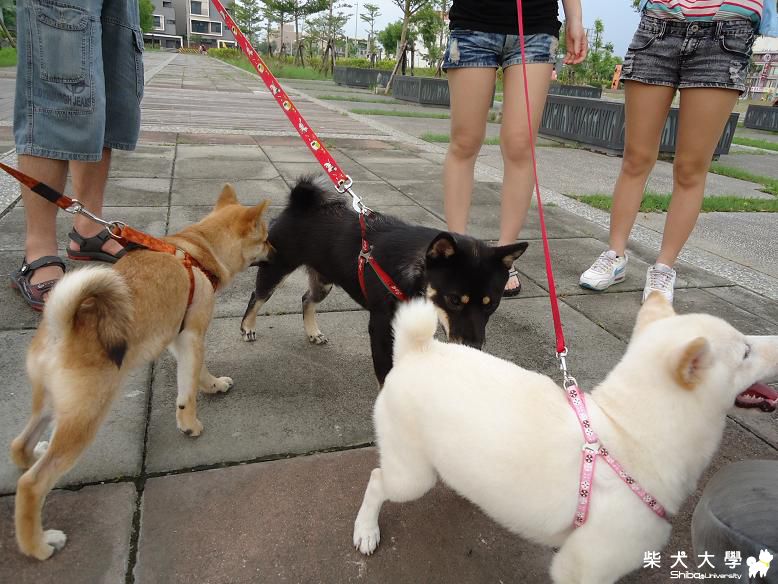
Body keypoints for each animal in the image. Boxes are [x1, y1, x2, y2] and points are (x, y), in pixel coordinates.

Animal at [10, 185, 272, 560]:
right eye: (265, 239)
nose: (276, 250)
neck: (197, 250)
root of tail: (64, 327)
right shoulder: (192, 336)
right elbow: (189, 387)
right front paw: (190, 421)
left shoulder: (179, 337)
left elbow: (196, 375)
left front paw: (211, 386)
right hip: (85, 418)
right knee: (32, 483)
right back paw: (40, 544)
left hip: (51, 403)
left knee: (19, 446)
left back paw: (34, 453)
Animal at [240, 177, 528, 384]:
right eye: (454, 300)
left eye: (492, 304)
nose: (474, 347)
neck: (414, 269)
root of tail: (299, 204)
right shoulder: (379, 327)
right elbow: (385, 372)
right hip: (276, 268)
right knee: (257, 296)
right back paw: (247, 327)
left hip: (323, 281)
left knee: (306, 299)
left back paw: (313, 332)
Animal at [352, 293, 778, 583]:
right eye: (745, 351)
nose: (777, 339)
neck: (627, 432)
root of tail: (416, 350)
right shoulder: (585, 566)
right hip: (411, 477)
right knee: (376, 480)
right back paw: (366, 530)